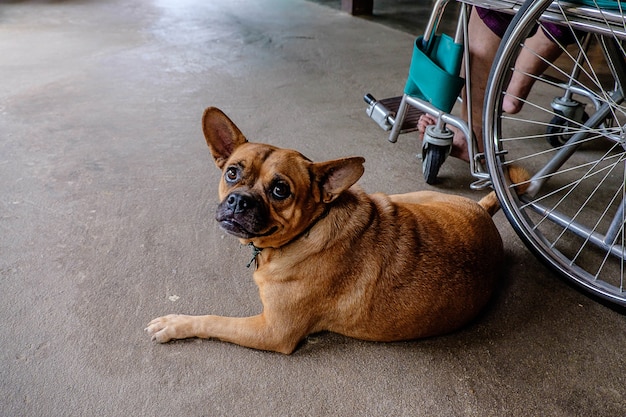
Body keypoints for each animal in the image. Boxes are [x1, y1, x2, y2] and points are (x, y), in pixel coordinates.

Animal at [146, 105, 520, 352]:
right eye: (232, 173)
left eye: (280, 190)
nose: (239, 201)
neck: (309, 229)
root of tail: (484, 212)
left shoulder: (272, 331)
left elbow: (213, 320)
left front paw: (176, 323)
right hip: (406, 197)